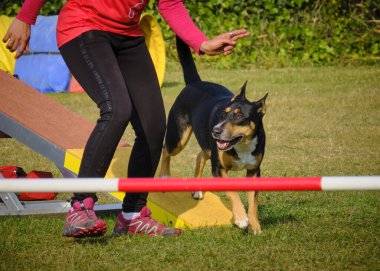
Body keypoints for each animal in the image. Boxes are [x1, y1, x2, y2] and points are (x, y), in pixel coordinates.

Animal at [160, 36, 268, 236]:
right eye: (224, 113)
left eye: (239, 116)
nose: (216, 130)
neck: (242, 145)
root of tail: (195, 83)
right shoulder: (219, 169)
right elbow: (232, 192)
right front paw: (241, 219)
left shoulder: (254, 171)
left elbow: (253, 202)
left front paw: (255, 225)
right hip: (179, 136)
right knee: (166, 149)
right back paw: (164, 176)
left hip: (208, 144)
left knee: (200, 155)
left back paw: (197, 189)